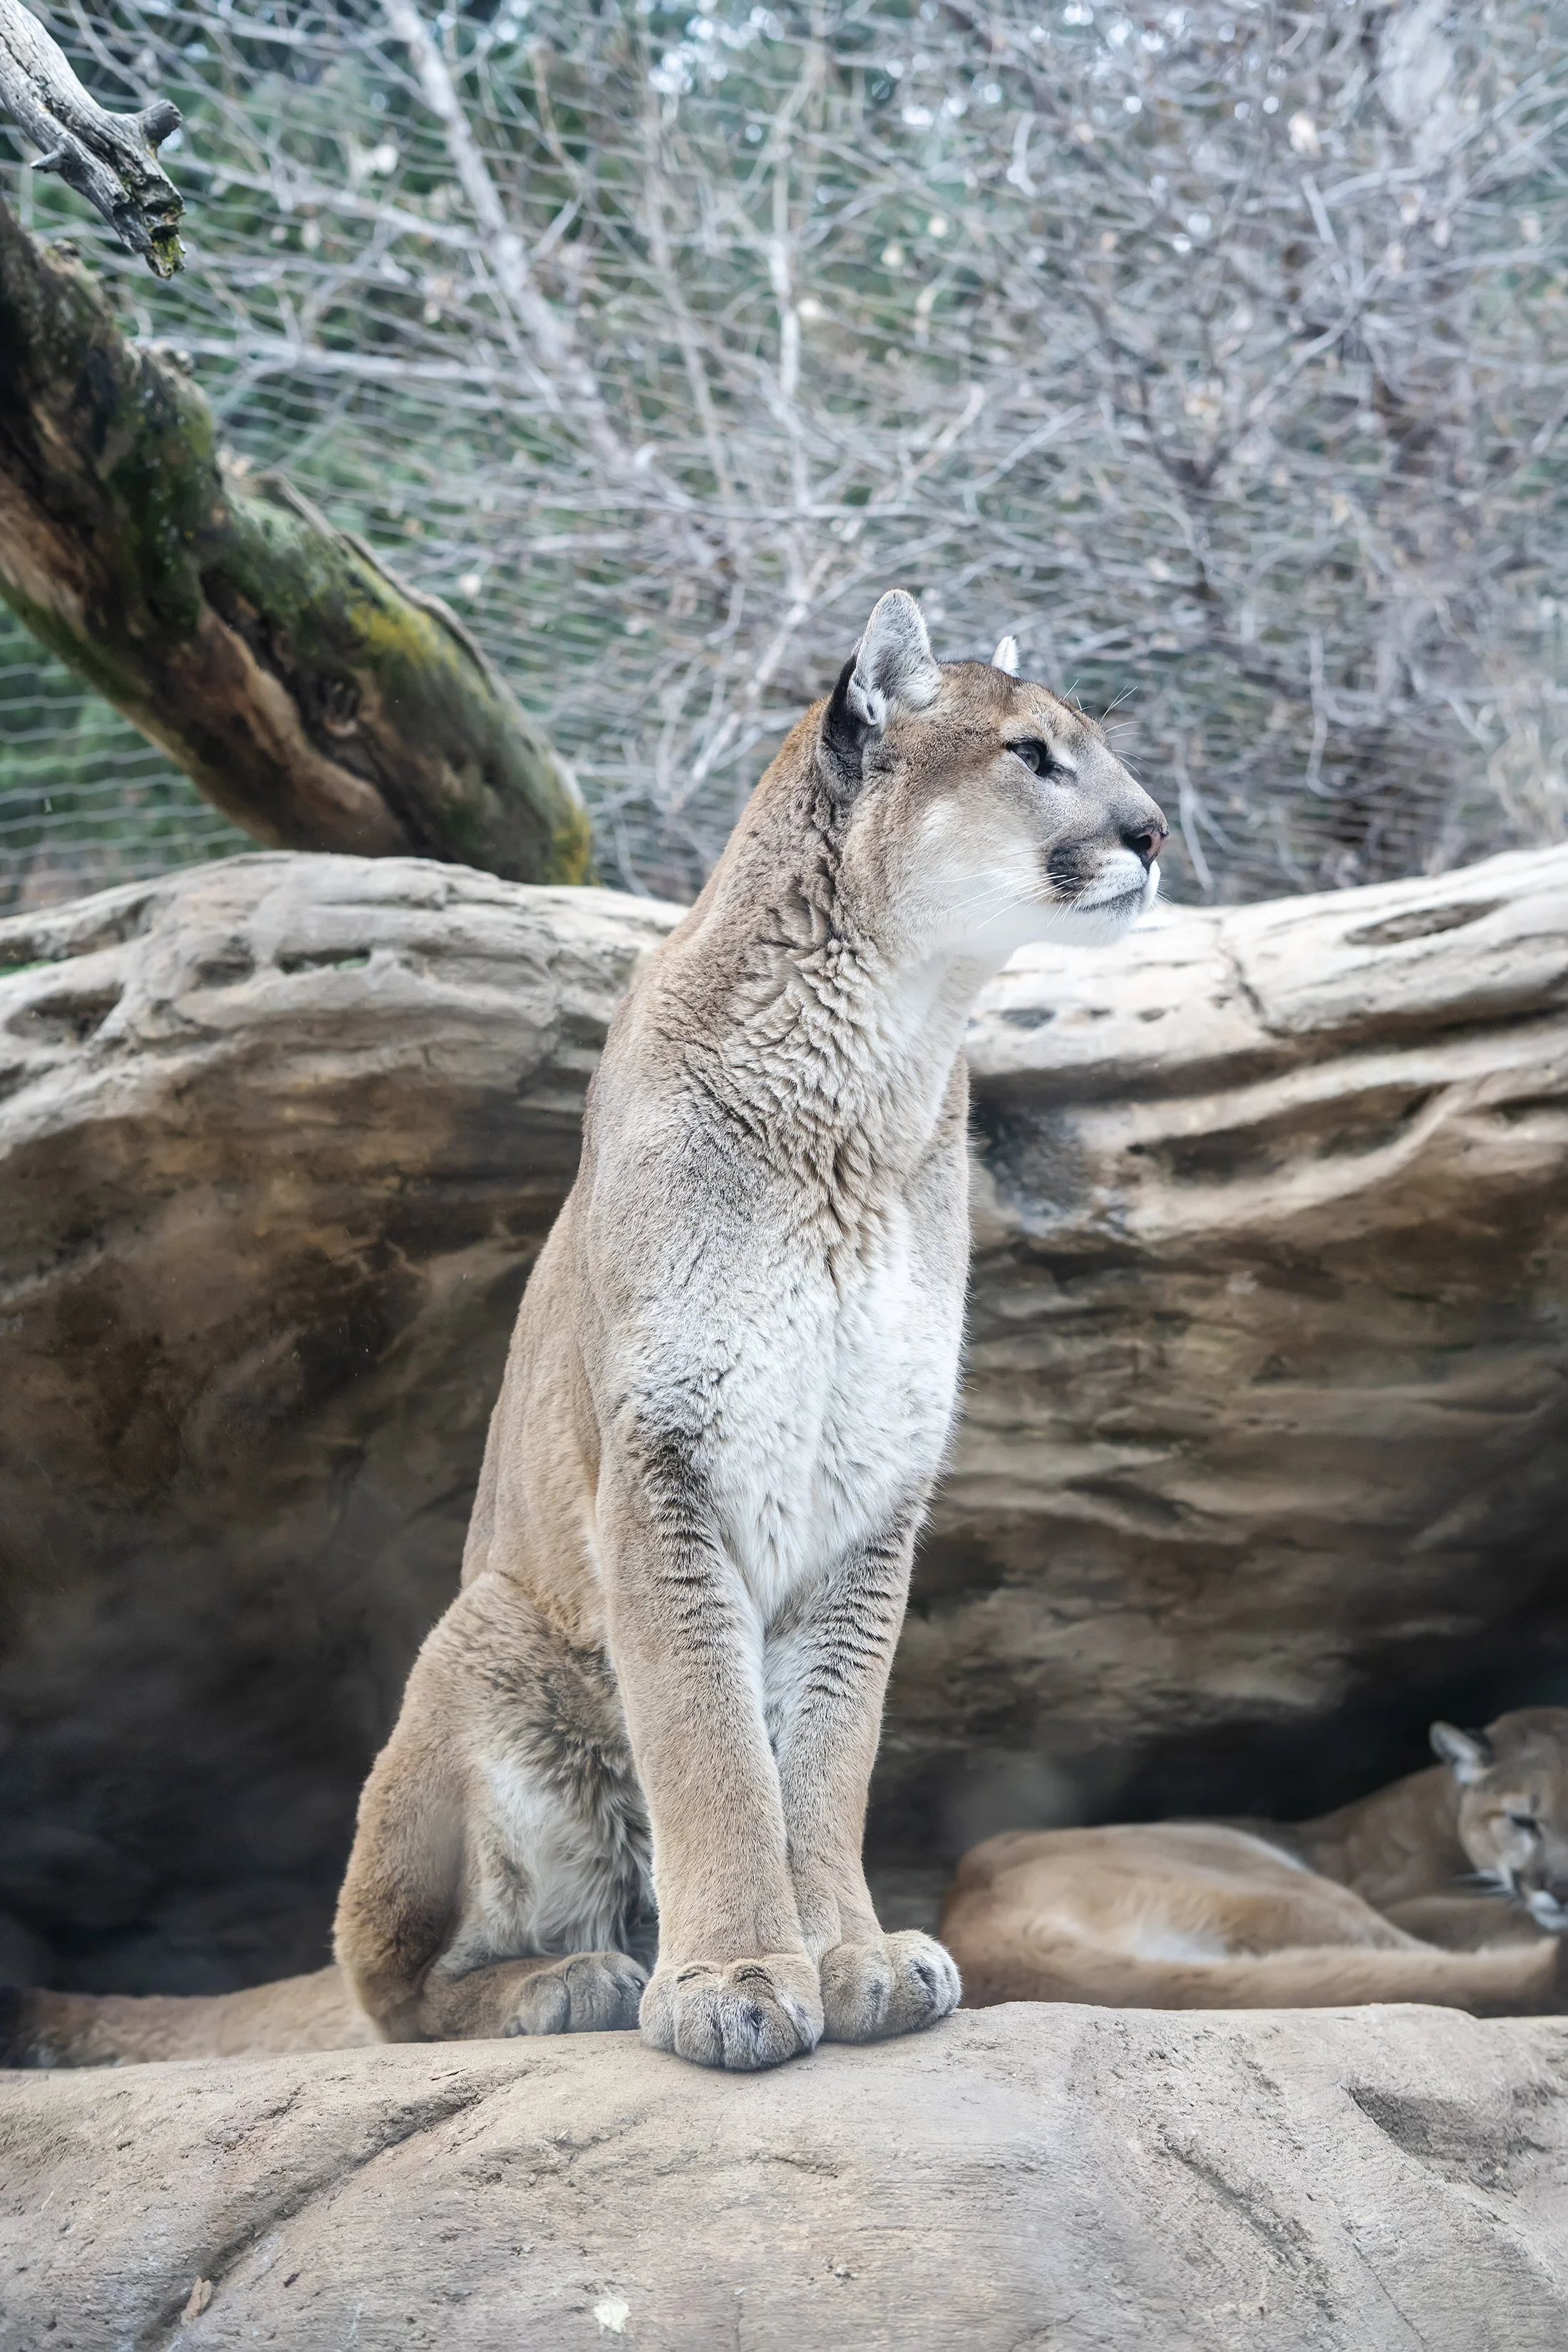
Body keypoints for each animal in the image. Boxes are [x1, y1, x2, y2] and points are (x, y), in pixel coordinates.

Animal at [2, 594, 1168, 2071]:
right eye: (1031, 753)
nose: (1154, 833)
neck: (881, 1065)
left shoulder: (875, 1489)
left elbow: (826, 1751)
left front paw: (847, 1952)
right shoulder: (664, 1457)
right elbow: (709, 1738)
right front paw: (735, 1976)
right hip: (482, 1636)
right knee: (385, 1988)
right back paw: (573, 1981)